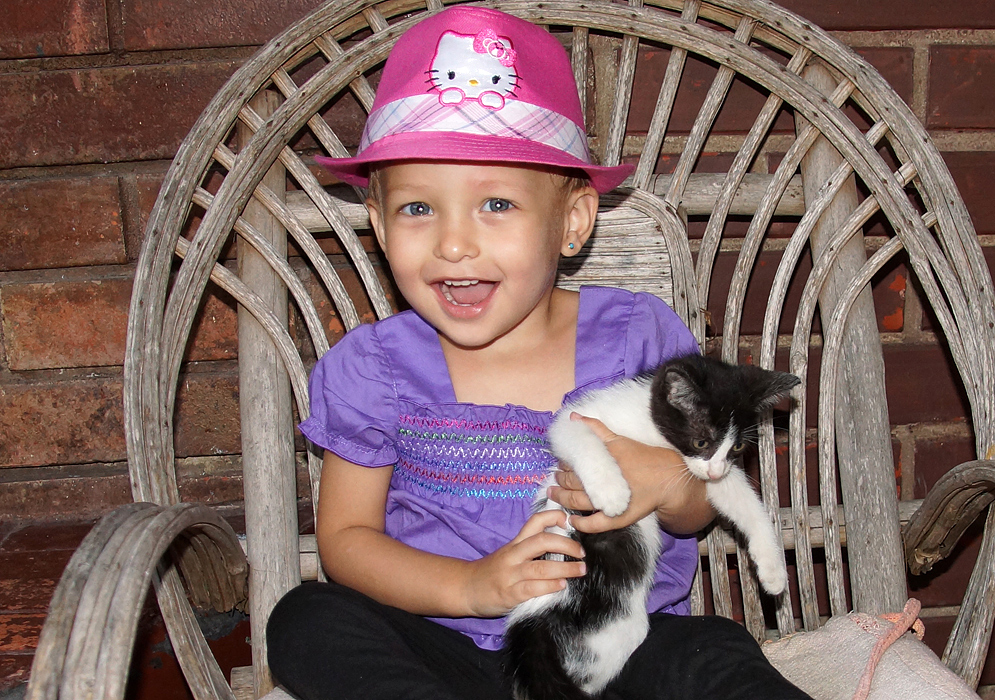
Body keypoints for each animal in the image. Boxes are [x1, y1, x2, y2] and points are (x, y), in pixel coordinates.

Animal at [506, 356, 800, 700]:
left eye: (737, 447)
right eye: (701, 440)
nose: (715, 471)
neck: (653, 432)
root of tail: (532, 622)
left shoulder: (697, 471)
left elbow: (742, 499)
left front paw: (773, 571)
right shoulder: (579, 417)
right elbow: (577, 435)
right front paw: (612, 492)